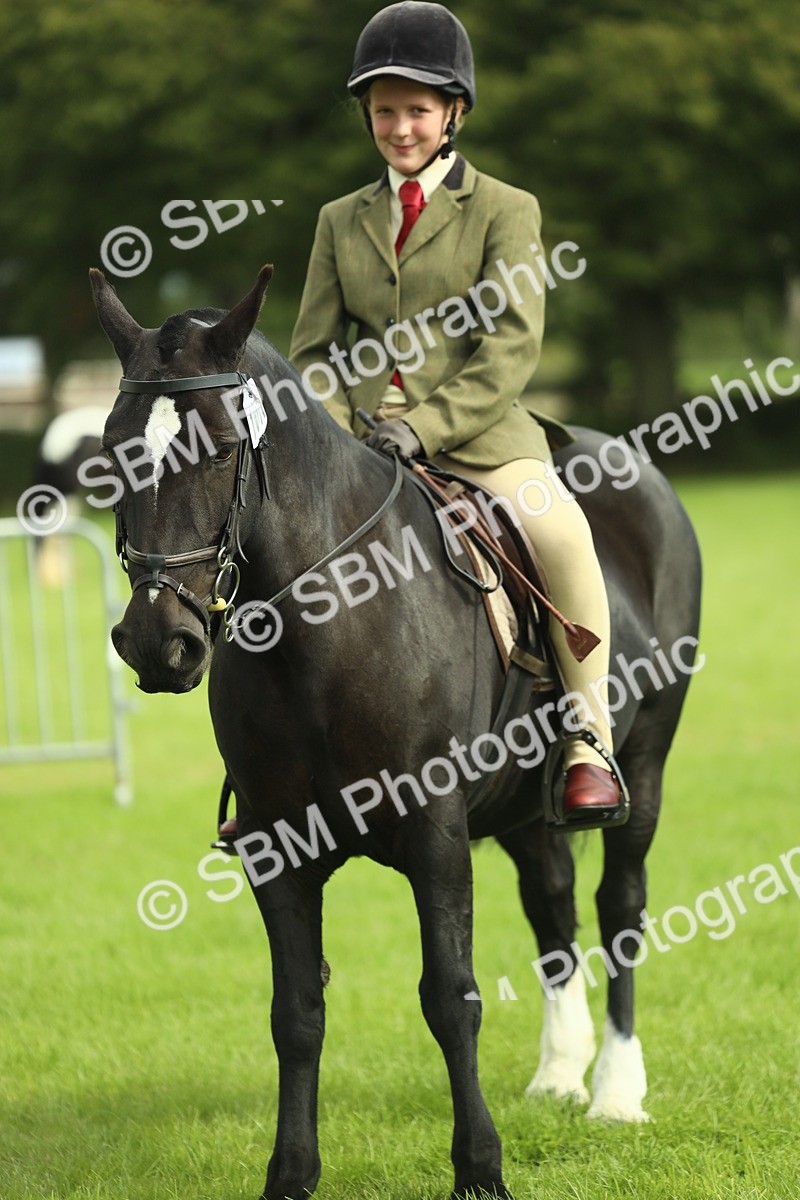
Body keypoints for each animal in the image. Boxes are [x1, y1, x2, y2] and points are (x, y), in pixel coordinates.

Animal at [89, 264, 702, 1200]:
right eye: (115, 448)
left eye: (223, 448)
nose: (158, 642)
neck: (324, 624)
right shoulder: (276, 846)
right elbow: (297, 1012)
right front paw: (290, 1175)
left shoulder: (436, 833)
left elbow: (451, 997)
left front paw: (480, 1171)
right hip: (523, 807)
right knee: (554, 901)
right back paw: (560, 1075)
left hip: (646, 763)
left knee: (619, 904)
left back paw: (615, 1092)